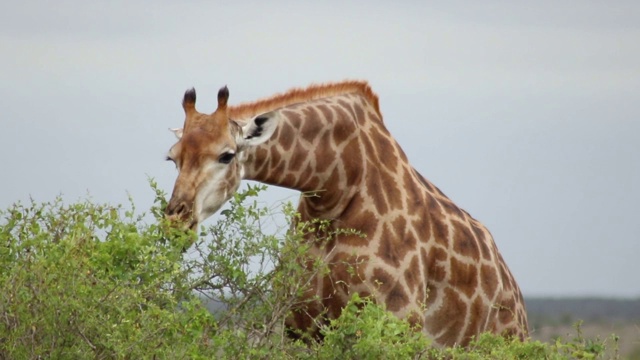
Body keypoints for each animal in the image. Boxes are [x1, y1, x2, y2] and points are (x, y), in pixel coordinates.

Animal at [165, 81, 528, 346]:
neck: (336, 190)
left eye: (226, 155)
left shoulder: (395, 324)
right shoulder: (300, 328)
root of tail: (515, 294)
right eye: (172, 157)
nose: (175, 222)